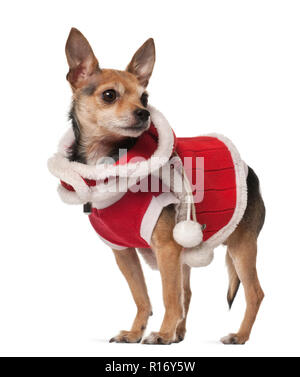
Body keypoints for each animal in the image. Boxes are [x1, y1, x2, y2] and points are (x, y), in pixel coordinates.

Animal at [63, 27, 264, 344]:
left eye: (144, 98)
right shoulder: (124, 251)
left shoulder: (166, 247)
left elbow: (168, 296)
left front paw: (162, 333)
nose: (143, 113)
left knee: (253, 293)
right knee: (188, 293)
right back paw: (180, 333)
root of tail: (251, 173)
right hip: (189, 254)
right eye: (109, 95)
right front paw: (136, 332)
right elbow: (141, 296)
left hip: (241, 246)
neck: (111, 160)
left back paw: (239, 336)